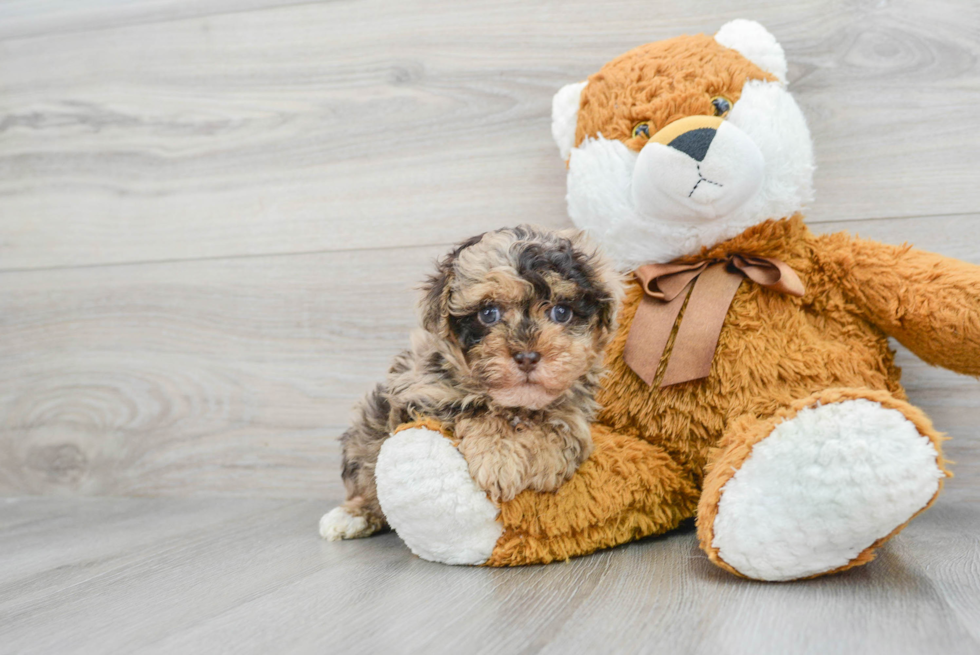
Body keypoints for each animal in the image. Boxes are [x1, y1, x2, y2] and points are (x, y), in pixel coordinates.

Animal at [320, 228, 620, 540]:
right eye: (488, 314)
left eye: (562, 312)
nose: (527, 357)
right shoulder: (423, 392)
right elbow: (478, 410)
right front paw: (499, 461)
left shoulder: (574, 408)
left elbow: (560, 424)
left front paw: (545, 459)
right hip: (366, 427)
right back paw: (350, 515)